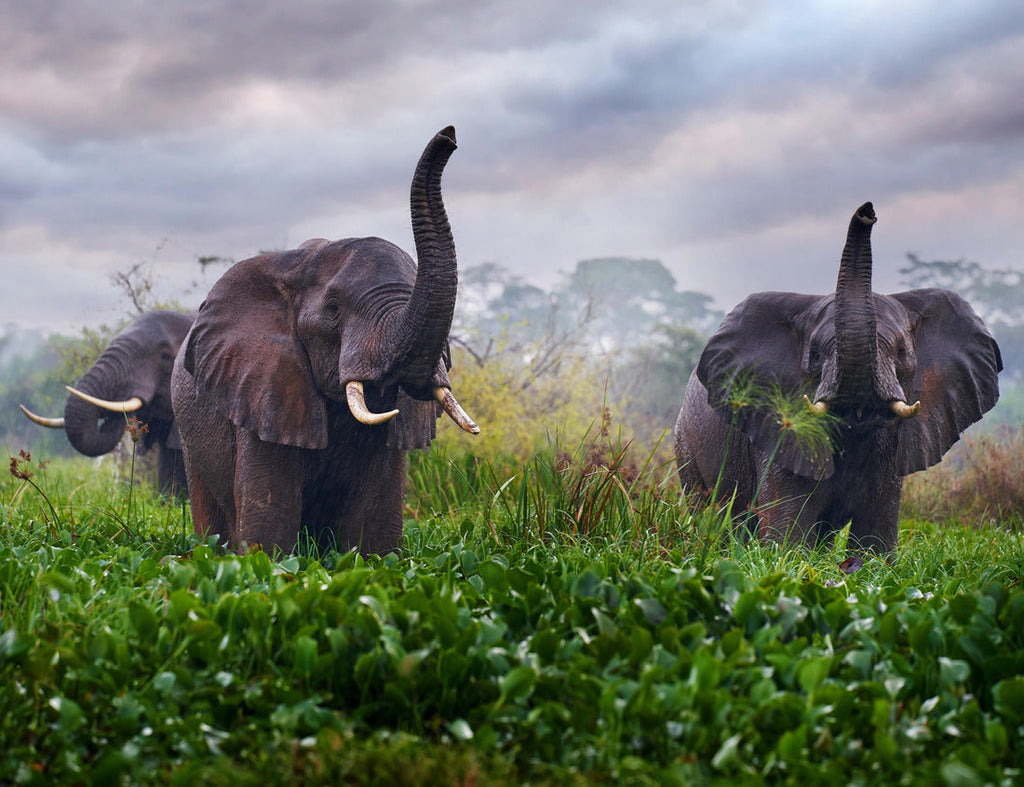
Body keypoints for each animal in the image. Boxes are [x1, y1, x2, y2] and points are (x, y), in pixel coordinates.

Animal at [674, 202, 1002, 555]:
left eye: (901, 352)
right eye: (816, 353)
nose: (867, 212)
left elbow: (875, 539)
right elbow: (787, 535)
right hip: (685, 445)